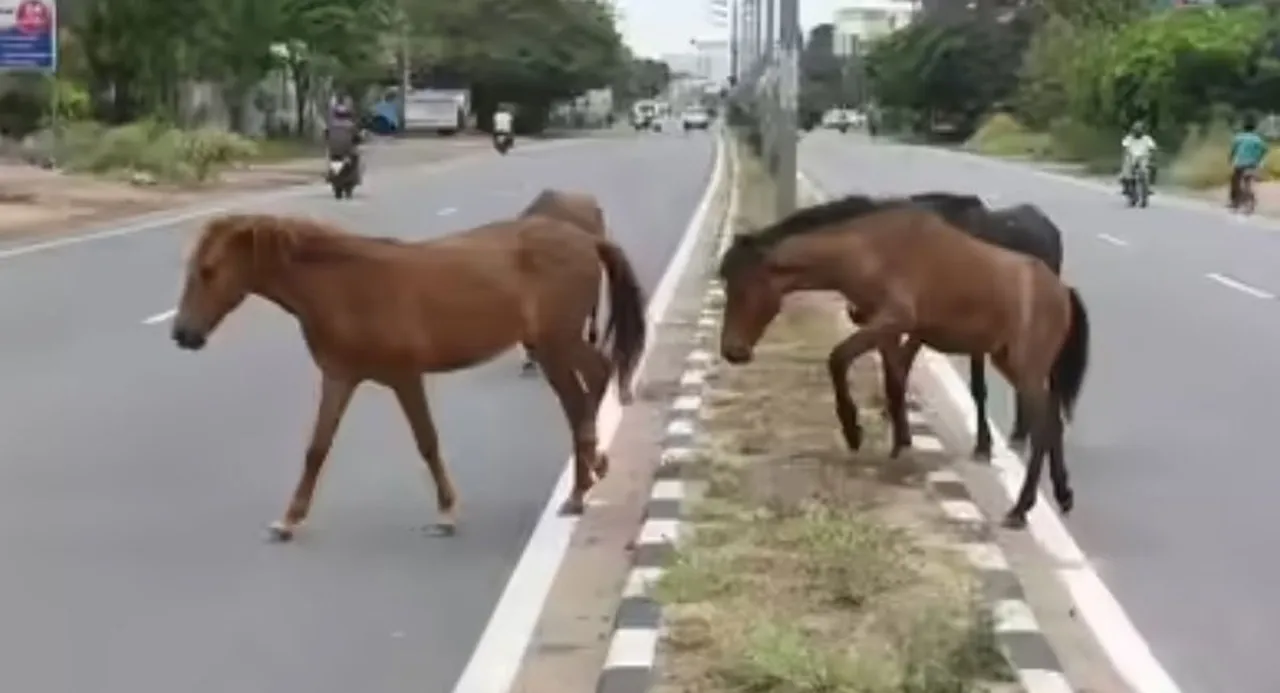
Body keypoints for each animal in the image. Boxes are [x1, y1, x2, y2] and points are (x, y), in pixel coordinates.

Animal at [169, 213, 647, 541]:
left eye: (208, 270)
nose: (182, 334)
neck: (344, 285)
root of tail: (587, 239)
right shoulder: (340, 378)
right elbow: (317, 449)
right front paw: (288, 520)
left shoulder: (404, 377)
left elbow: (427, 442)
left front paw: (446, 513)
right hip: (553, 345)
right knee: (590, 383)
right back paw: (591, 470)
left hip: (554, 344)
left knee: (584, 392)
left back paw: (583, 484)